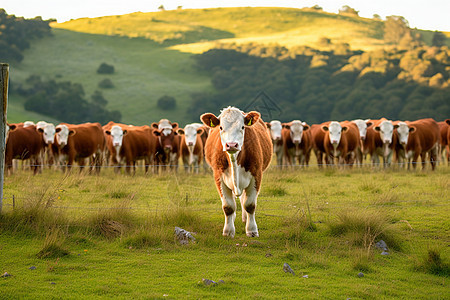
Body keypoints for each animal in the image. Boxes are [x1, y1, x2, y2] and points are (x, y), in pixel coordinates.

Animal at [201, 106, 272, 238]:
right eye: (221, 127)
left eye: (243, 127)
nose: (232, 144)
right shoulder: (219, 176)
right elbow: (228, 206)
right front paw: (228, 231)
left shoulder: (256, 175)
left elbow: (250, 205)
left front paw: (251, 230)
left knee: (243, 199)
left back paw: (245, 218)